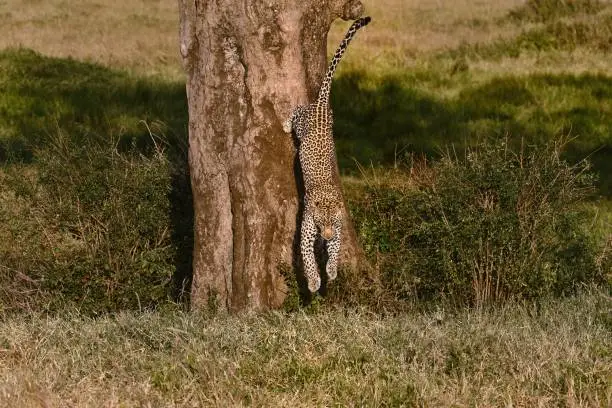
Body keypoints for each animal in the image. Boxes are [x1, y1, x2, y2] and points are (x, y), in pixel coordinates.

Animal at [284, 15, 372, 294]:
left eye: (334, 222)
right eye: (322, 222)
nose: (327, 235)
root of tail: (322, 106)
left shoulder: (339, 231)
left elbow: (334, 252)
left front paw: (332, 271)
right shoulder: (307, 230)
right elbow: (308, 258)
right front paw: (314, 282)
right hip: (303, 121)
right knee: (295, 112)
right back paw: (285, 124)